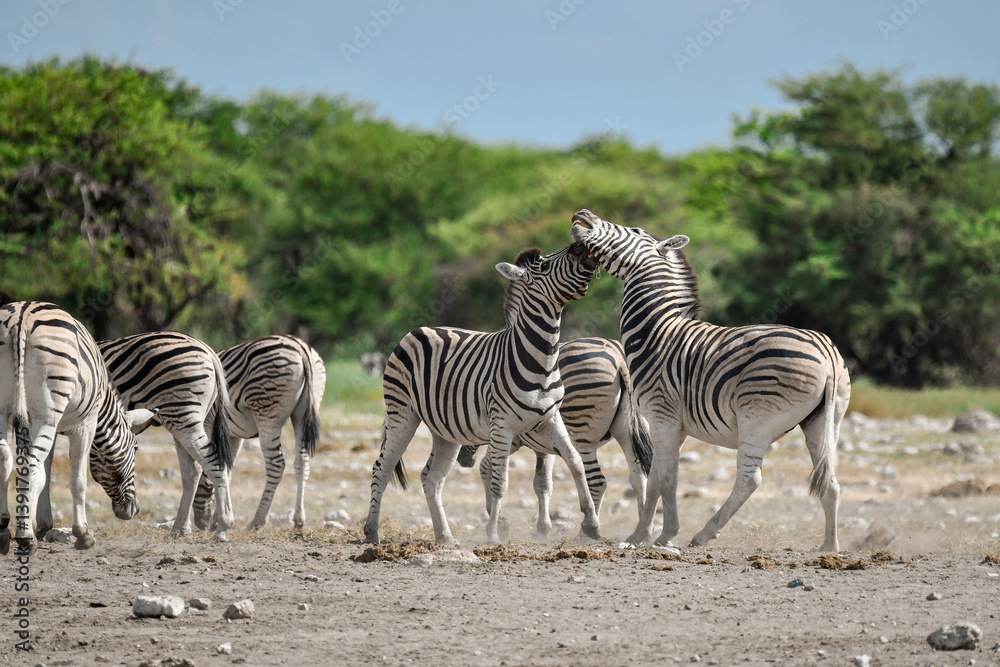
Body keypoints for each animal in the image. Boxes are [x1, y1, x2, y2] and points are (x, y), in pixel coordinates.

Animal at [0, 302, 156, 554]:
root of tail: (20, 319)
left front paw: (38, 524)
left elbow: (46, 476)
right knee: (31, 466)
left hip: (9, 410)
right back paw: (25, 539)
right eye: (136, 449)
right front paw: (82, 534)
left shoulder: (44, 426)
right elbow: (77, 480)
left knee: (6, 458)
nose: (134, 510)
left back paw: (4, 530)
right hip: (48, 410)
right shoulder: (86, 424)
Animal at [191, 335, 325, 531]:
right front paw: (219, 519)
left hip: (267, 413)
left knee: (276, 464)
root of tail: (300, 347)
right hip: (303, 412)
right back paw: (299, 520)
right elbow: (227, 470)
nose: (201, 525)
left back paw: (257, 521)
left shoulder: (208, 424)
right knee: (302, 461)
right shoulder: (233, 435)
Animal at [364, 241, 601, 545]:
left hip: (445, 429)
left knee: (432, 478)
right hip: (402, 414)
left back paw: (445, 536)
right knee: (382, 468)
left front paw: (592, 523)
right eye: (546, 265)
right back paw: (372, 532)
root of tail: (418, 329)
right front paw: (494, 533)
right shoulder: (502, 426)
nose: (581, 245)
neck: (543, 360)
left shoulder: (549, 419)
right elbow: (500, 481)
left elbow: (575, 462)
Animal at [459, 336, 653, 539]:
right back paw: (642, 532)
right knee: (638, 476)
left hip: (582, 432)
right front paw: (543, 528)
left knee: (598, 481)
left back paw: (586, 533)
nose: (463, 460)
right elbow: (542, 483)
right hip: (627, 430)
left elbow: (485, 466)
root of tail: (620, 357)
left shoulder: (512, 437)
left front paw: (499, 519)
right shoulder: (546, 443)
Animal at [570, 210, 851, 551]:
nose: (582, 214)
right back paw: (830, 547)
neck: (656, 332)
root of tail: (827, 353)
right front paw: (639, 535)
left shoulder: (663, 416)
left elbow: (667, 479)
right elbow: (655, 479)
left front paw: (666, 534)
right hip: (824, 420)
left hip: (756, 417)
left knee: (749, 479)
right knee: (832, 481)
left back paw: (704, 534)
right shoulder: (668, 425)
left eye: (635, 230)